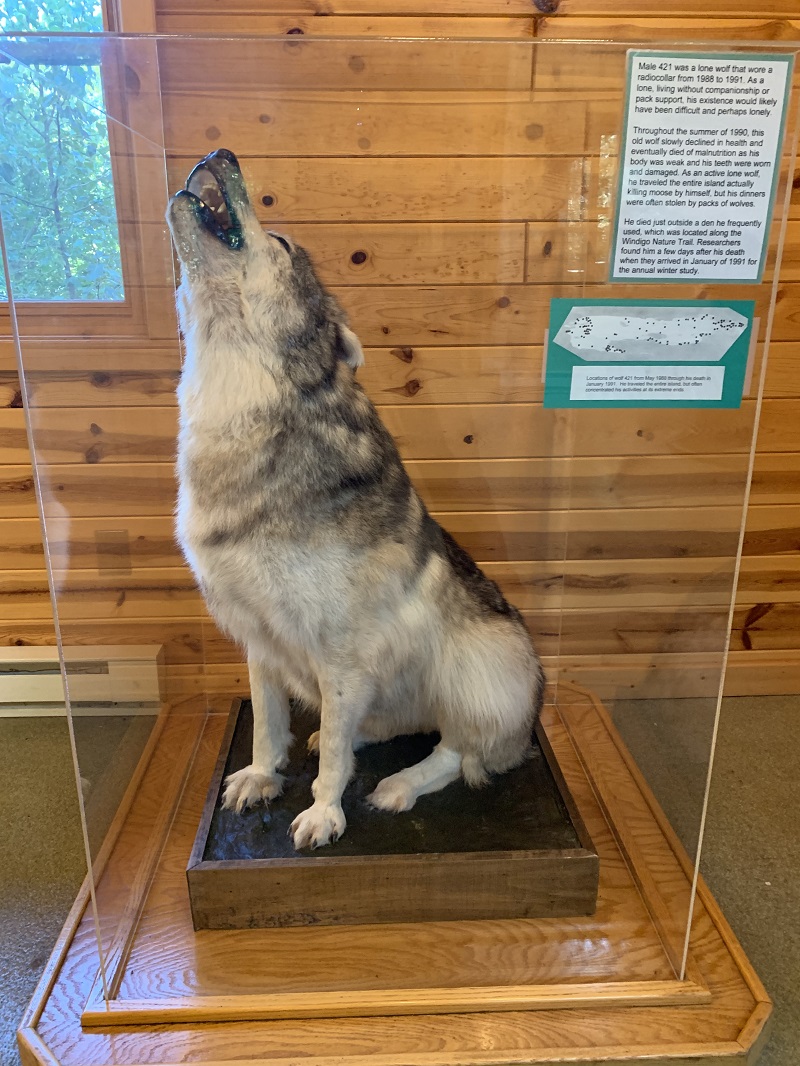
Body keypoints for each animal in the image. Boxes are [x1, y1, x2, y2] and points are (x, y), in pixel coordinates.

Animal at [166, 150, 550, 848]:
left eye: (282, 242)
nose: (220, 155)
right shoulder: (258, 639)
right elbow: (268, 726)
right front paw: (263, 776)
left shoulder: (339, 654)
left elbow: (332, 771)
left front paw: (324, 814)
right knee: (371, 729)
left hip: (482, 665)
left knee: (457, 751)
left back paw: (397, 786)